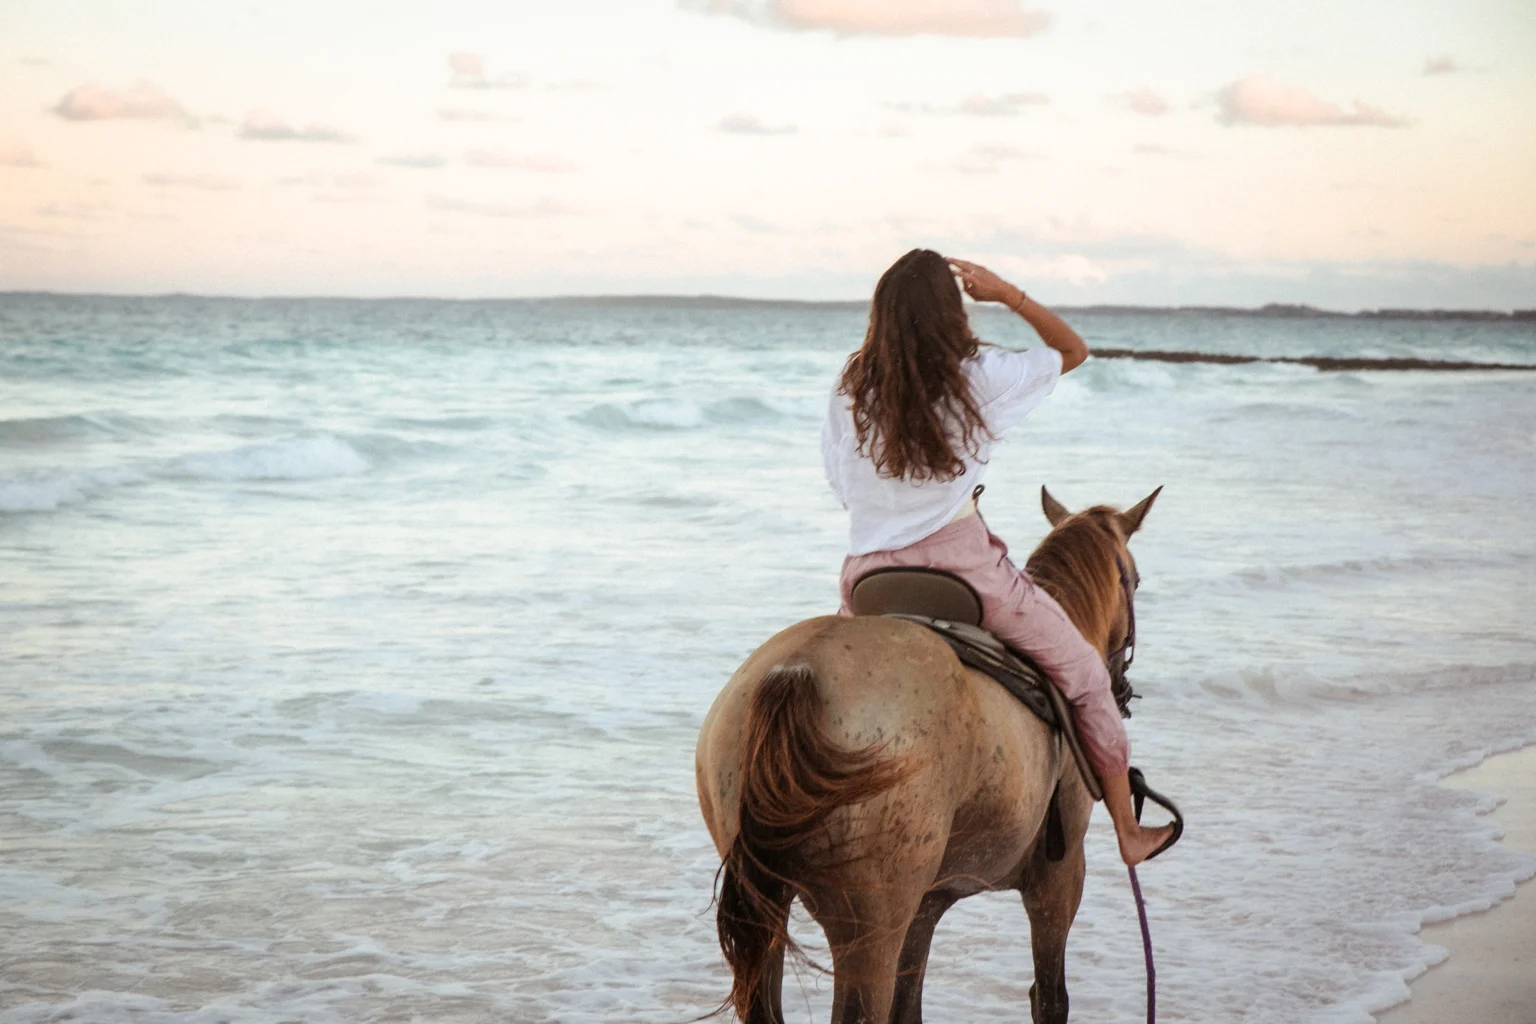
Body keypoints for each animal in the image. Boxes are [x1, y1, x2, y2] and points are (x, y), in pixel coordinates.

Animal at [691, 488, 1155, 1024]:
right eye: (1135, 579)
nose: (1121, 687)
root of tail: (795, 672)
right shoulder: (1058, 878)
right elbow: (1049, 997)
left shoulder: (927, 904)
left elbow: (908, 1005)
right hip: (870, 928)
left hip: (775, 903)